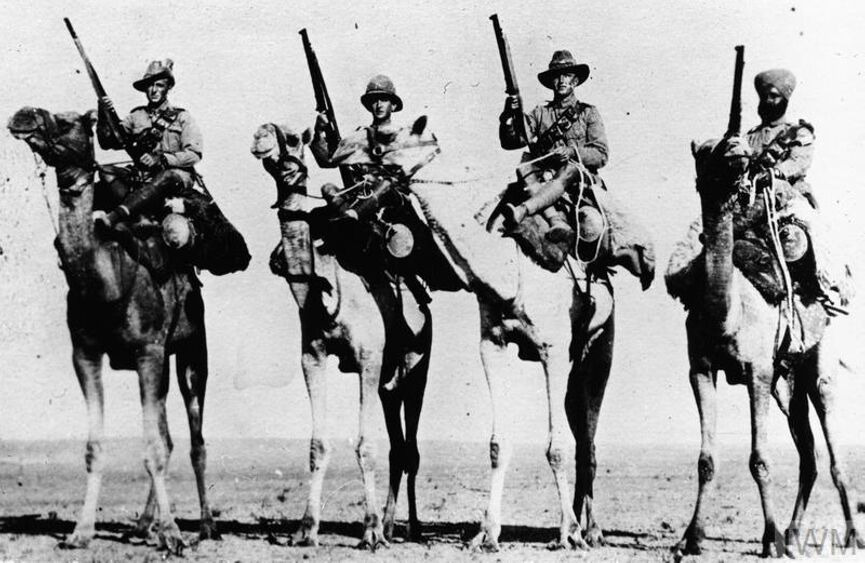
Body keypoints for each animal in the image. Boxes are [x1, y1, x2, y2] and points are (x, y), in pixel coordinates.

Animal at [7, 107, 218, 553]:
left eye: (70, 121)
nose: (23, 115)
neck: (107, 279)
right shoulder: (85, 353)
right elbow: (97, 446)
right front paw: (80, 532)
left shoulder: (148, 351)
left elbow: (152, 448)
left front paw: (174, 534)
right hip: (162, 362)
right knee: (170, 438)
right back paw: (143, 525)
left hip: (192, 351)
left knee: (195, 439)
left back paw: (205, 527)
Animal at [250, 123, 432, 547]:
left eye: (292, 139)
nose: (261, 136)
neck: (326, 292)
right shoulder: (312, 356)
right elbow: (317, 444)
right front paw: (306, 529)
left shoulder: (368, 358)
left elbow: (365, 445)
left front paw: (369, 531)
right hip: (388, 382)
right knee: (399, 448)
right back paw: (391, 525)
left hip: (417, 365)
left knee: (411, 449)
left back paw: (409, 528)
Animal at [666, 135, 862, 557]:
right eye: (702, 155)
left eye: (733, 153)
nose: (733, 158)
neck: (728, 312)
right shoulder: (701, 369)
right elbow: (706, 460)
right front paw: (691, 538)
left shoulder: (757, 372)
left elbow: (760, 460)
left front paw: (768, 539)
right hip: (787, 385)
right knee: (809, 456)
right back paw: (793, 534)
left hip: (816, 367)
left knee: (833, 451)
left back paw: (850, 535)